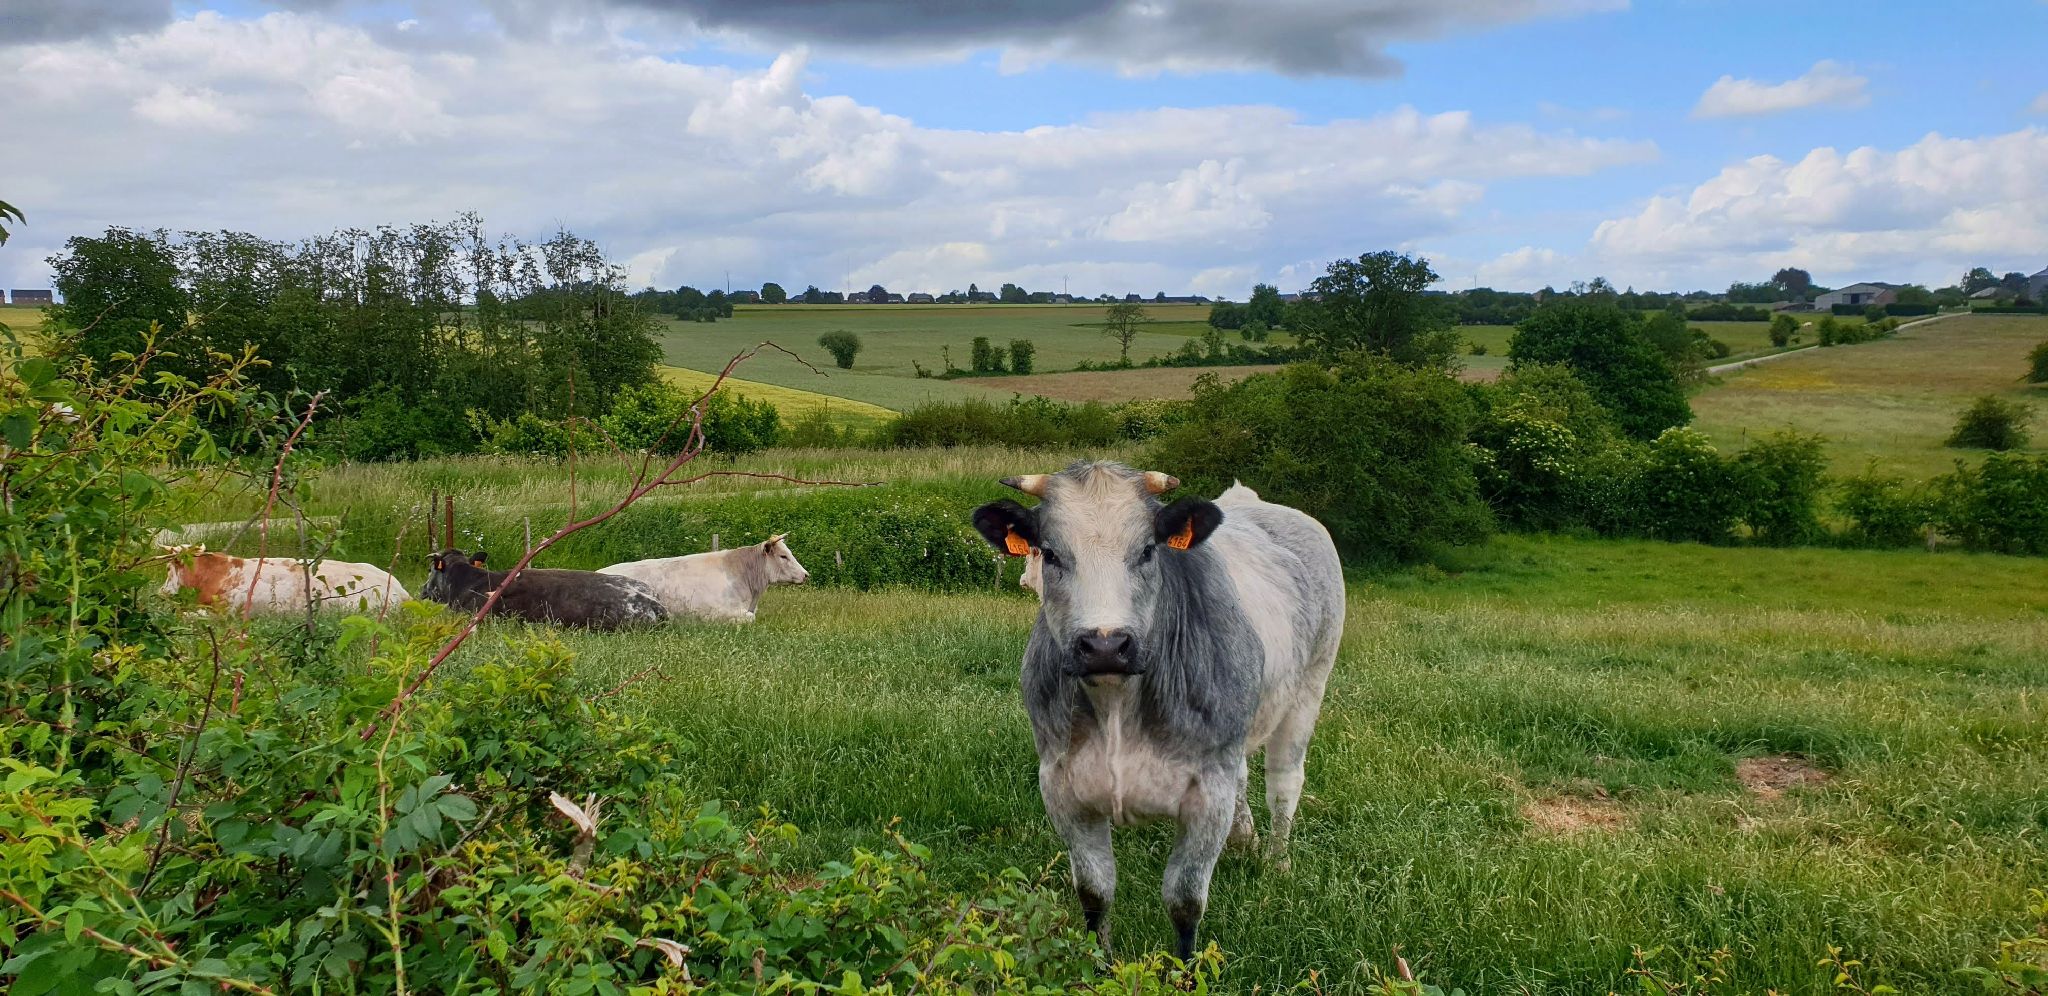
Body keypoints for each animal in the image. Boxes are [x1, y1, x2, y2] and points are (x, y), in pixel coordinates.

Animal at [970, 462, 1345, 960]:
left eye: (1148, 550)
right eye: (1049, 553)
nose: (1104, 644)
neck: (1117, 706)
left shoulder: (1209, 792)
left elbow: (1185, 902)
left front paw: (1186, 970)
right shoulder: (1061, 787)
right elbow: (1094, 893)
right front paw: (1099, 965)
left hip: (1309, 689)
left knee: (1284, 783)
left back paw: (1276, 860)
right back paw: (1244, 839)